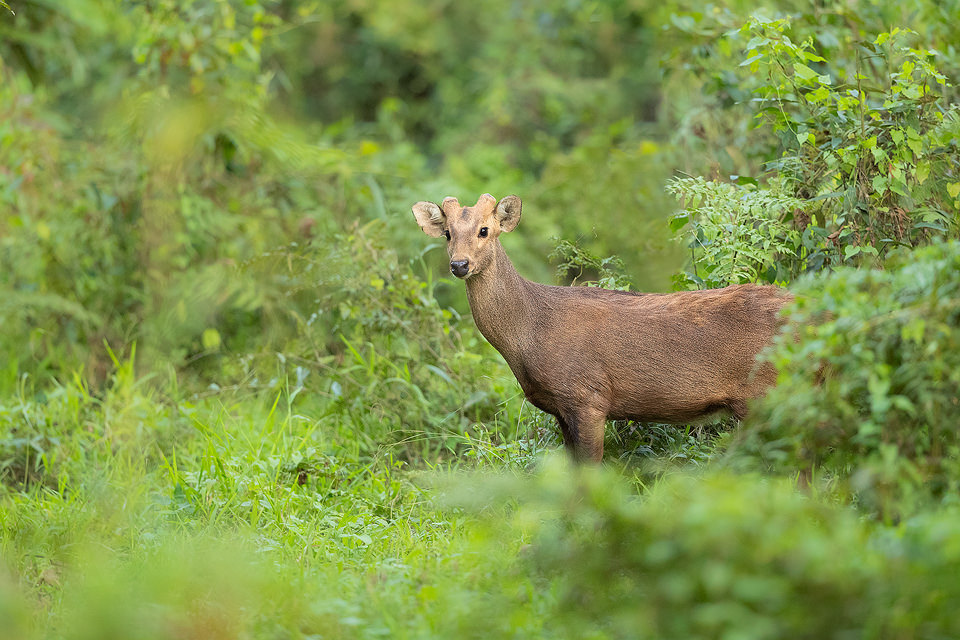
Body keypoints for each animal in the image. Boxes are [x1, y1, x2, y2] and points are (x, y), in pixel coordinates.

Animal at [412, 192, 788, 462]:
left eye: (485, 230)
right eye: (447, 233)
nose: (459, 264)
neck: (531, 334)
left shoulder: (588, 396)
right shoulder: (561, 409)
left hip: (765, 392)